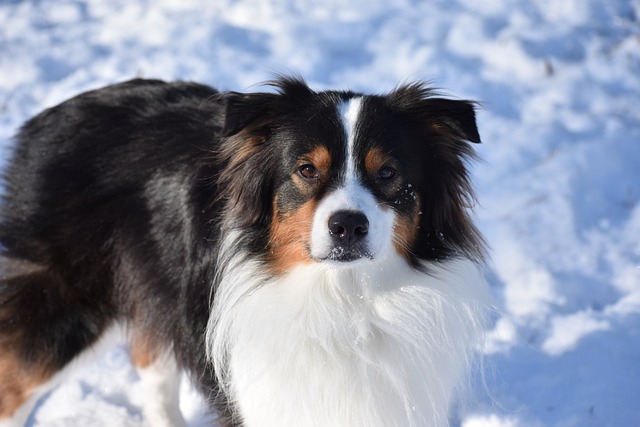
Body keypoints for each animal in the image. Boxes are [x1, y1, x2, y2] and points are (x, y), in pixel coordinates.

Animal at [0, 77, 490, 427]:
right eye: (306, 170)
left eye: (387, 173)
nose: (348, 225)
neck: (343, 299)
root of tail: (45, 118)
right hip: (67, 303)